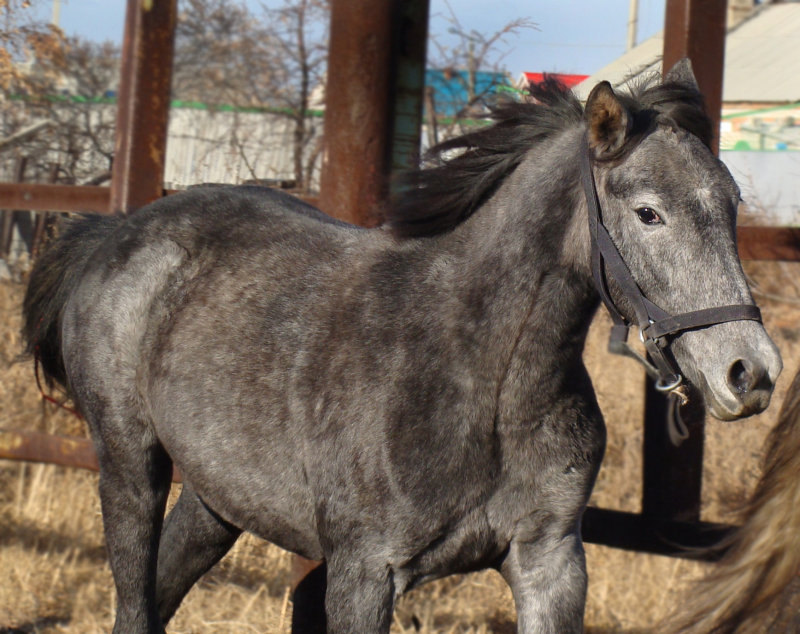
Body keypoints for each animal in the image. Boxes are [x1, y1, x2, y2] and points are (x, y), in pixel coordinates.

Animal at [23, 60, 780, 632]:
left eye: (731, 201)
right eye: (648, 213)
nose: (751, 372)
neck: (482, 380)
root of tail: (117, 232)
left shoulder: (551, 562)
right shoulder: (365, 573)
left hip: (216, 499)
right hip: (130, 468)